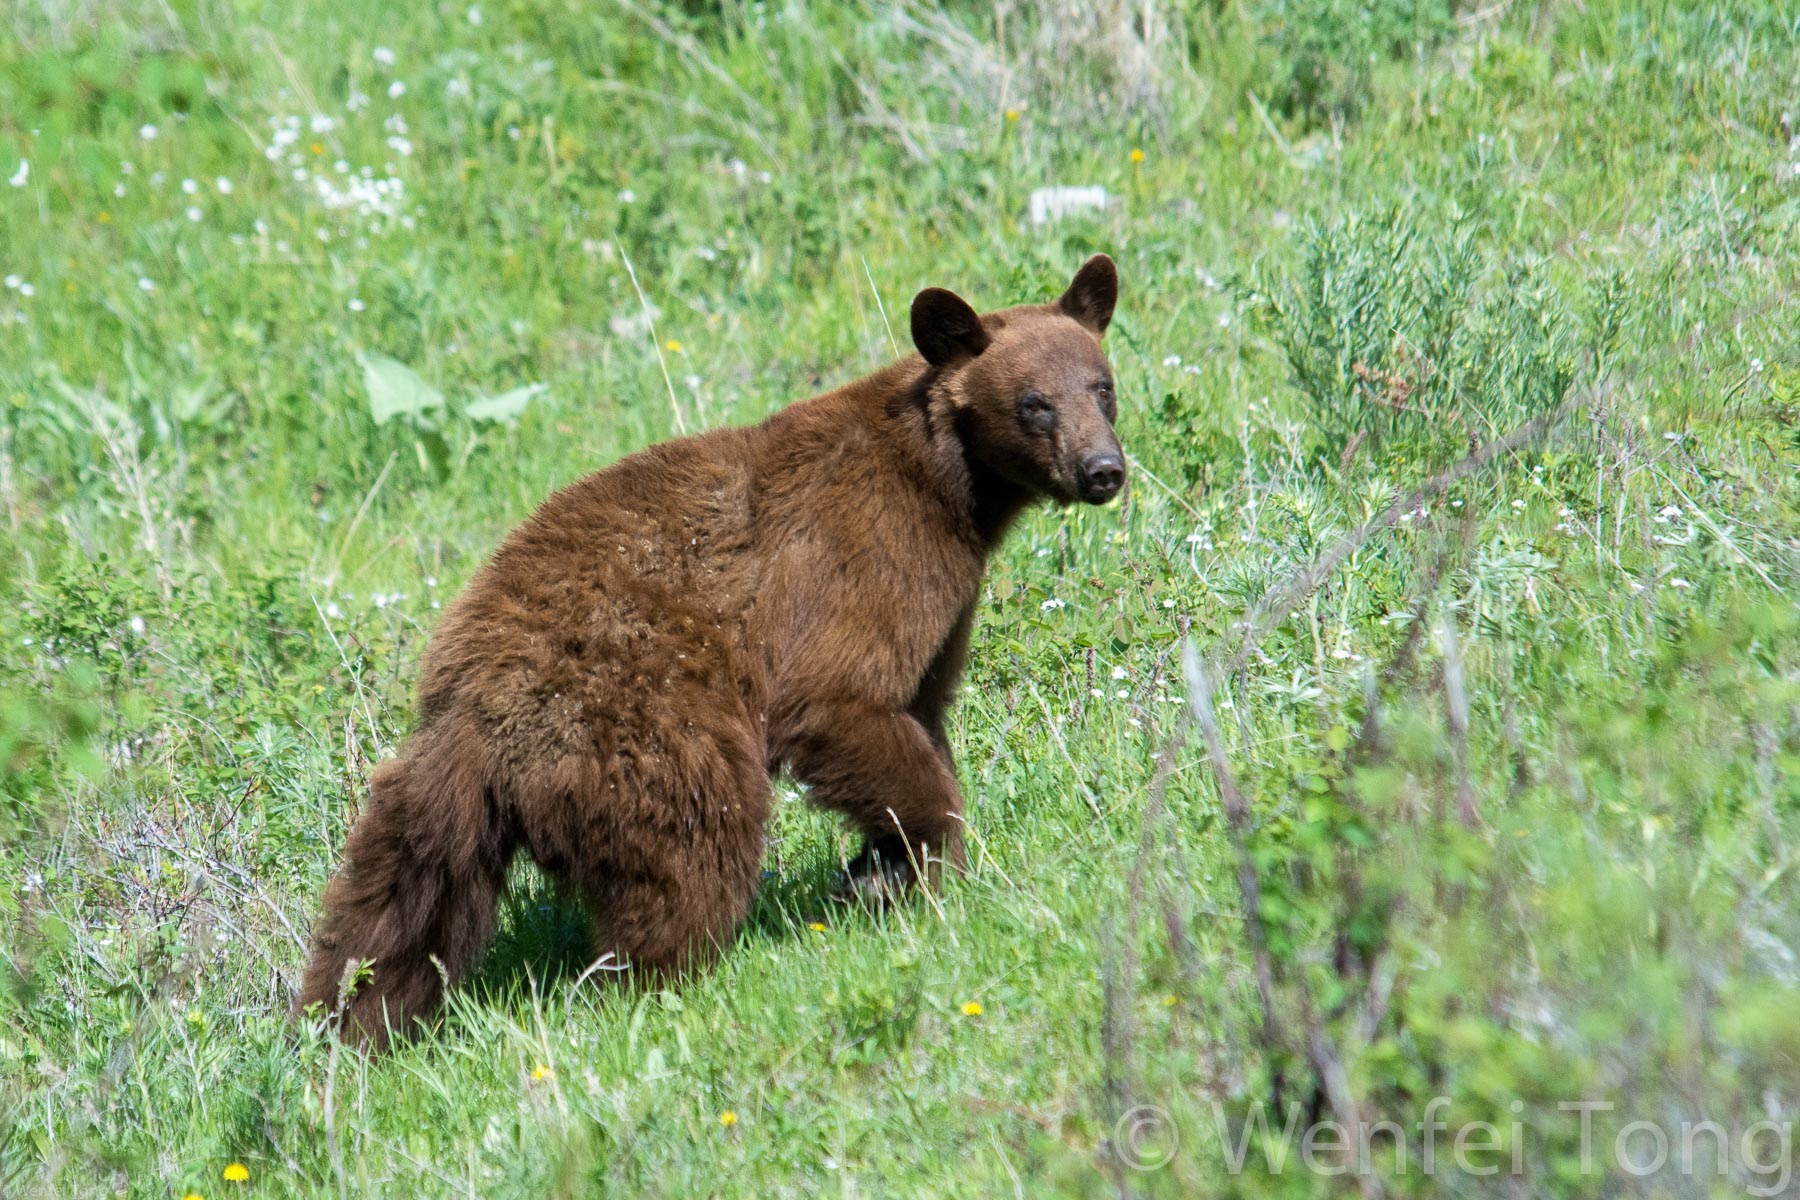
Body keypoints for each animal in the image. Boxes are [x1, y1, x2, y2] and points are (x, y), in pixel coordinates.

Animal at [302, 251, 1130, 1043]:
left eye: (1103, 387)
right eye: (1033, 403)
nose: (1103, 470)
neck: (948, 483)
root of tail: (478, 716)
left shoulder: (946, 608)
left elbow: (922, 709)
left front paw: (881, 869)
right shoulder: (871, 556)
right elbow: (838, 701)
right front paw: (928, 861)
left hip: (432, 806)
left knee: (392, 911)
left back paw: (345, 1026)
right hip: (650, 736)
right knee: (694, 854)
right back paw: (664, 984)